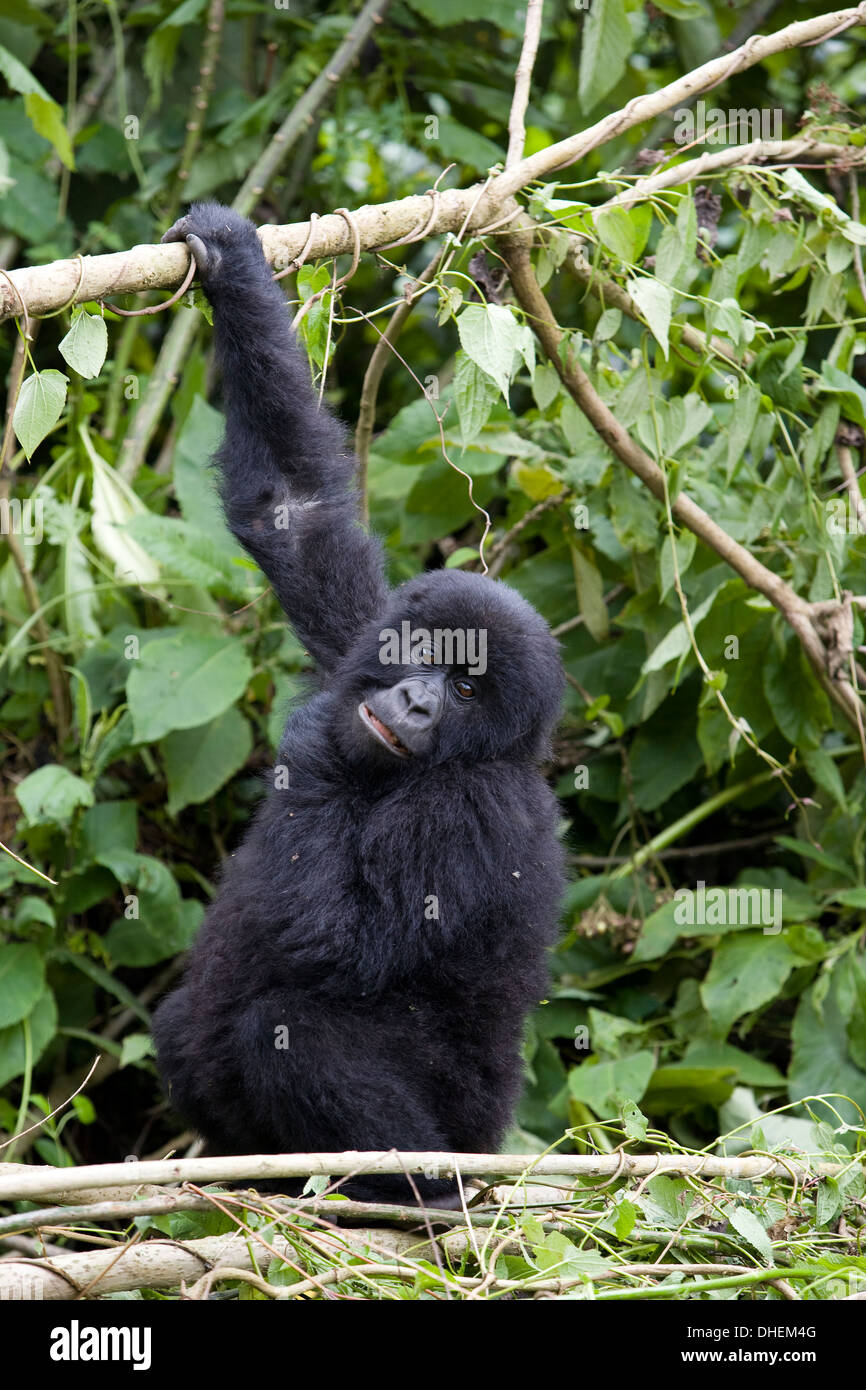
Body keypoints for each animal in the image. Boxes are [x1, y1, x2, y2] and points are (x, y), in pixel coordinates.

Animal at [152, 202, 567, 1206]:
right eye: (425, 654)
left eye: (467, 688)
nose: (415, 699)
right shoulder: (359, 635)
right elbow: (293, 510)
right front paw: (233, 264)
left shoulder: (473, 807)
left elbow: (340, 937)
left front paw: (315, 752)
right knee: (188, 1028)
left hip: (471, 1126)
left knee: (294, 1029)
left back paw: (420, 1192)